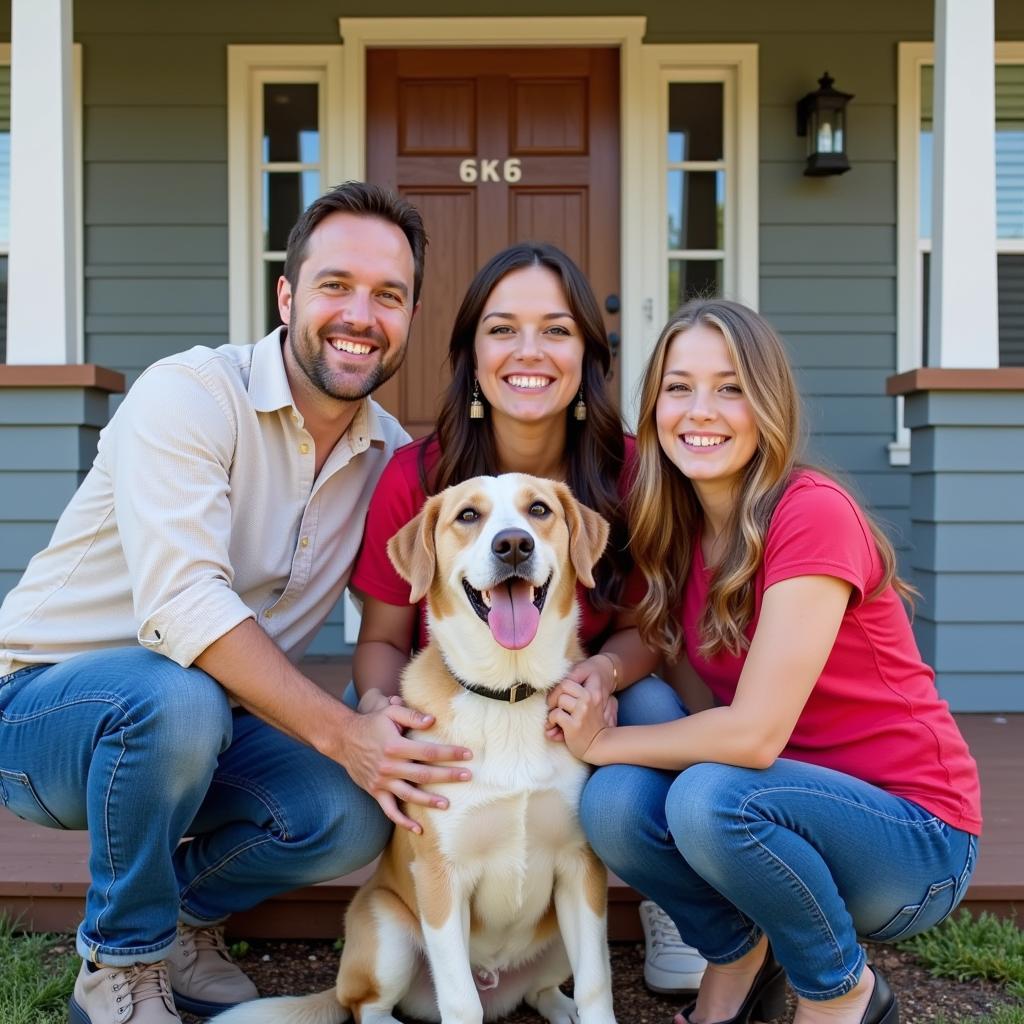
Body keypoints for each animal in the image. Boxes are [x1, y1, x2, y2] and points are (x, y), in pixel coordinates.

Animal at [215, 473, 614, 1024]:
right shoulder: (440, 878)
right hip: (388, 933)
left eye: (538, 510)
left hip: (551, 940)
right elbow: (461, 1001)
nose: (513, 544)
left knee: (542, 989)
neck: (507, 693)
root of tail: (500, 983)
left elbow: (596, 985)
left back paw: (560, 1006)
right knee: (368, 1006)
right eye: (468, 516)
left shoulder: (580, 869)